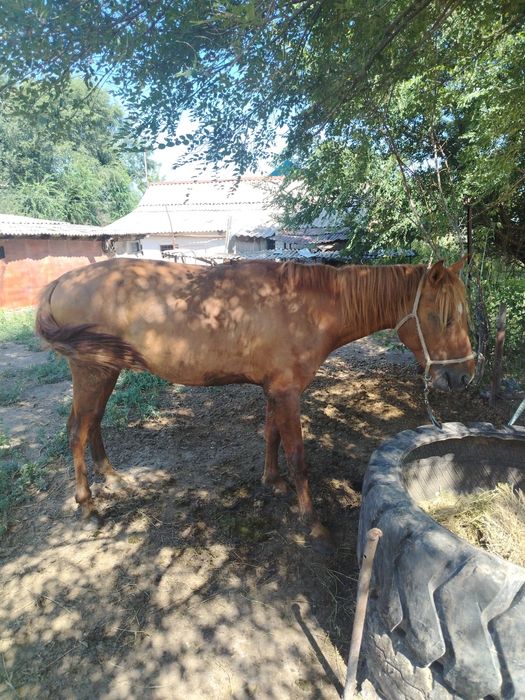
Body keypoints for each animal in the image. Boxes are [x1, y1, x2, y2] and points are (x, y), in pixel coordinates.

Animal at [35, 257, 475, 547]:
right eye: (444, 317)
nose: (464, 376)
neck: (306, 305)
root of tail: (60, 282)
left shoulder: (273, 390)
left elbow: (270, 436)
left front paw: (272, 480)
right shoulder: (286, 392)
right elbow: (298, 455)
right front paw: (311, 520)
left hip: (105, 371)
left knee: (91, 423)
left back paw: (110, 475)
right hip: (92, 372)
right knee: (77, 431)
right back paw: (87, 506)